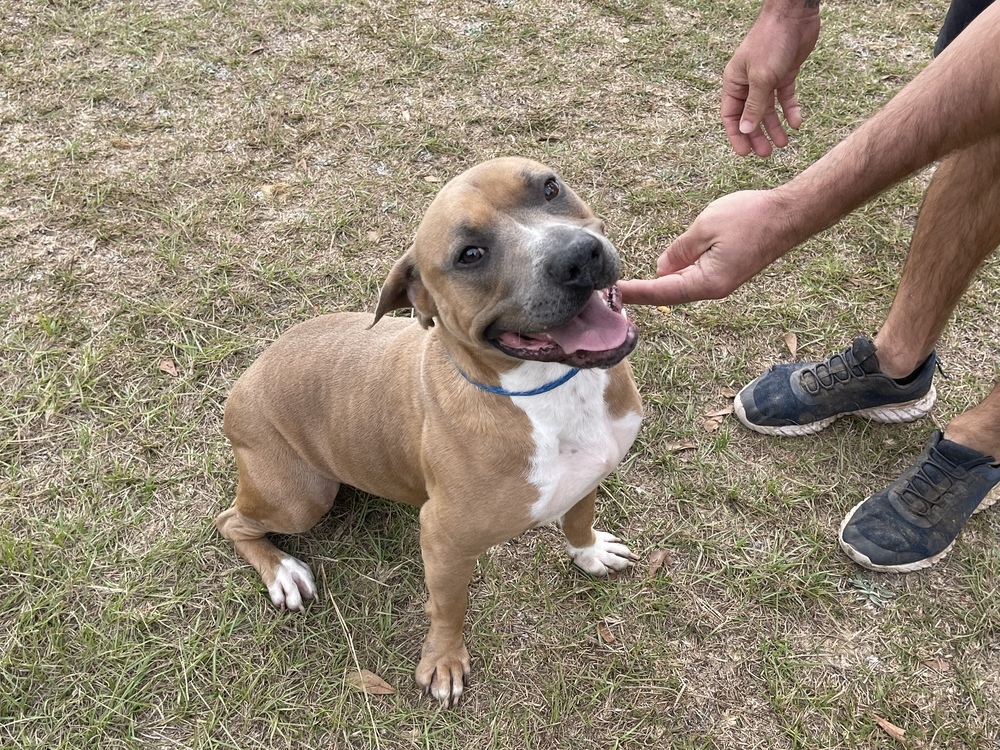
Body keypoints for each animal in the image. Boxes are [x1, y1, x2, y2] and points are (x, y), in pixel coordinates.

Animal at [215, 156, 644, 708]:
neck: (549, 390)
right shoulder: (444, 540)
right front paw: (443, 661)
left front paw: (589, 552)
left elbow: (577, 519)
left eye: (550, 188)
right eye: (470, 255)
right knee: (232, 521)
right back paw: (282, 572)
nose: (577, 255)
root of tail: (242, 384)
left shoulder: (589, 474)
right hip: (299, 497)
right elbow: (448, 607)